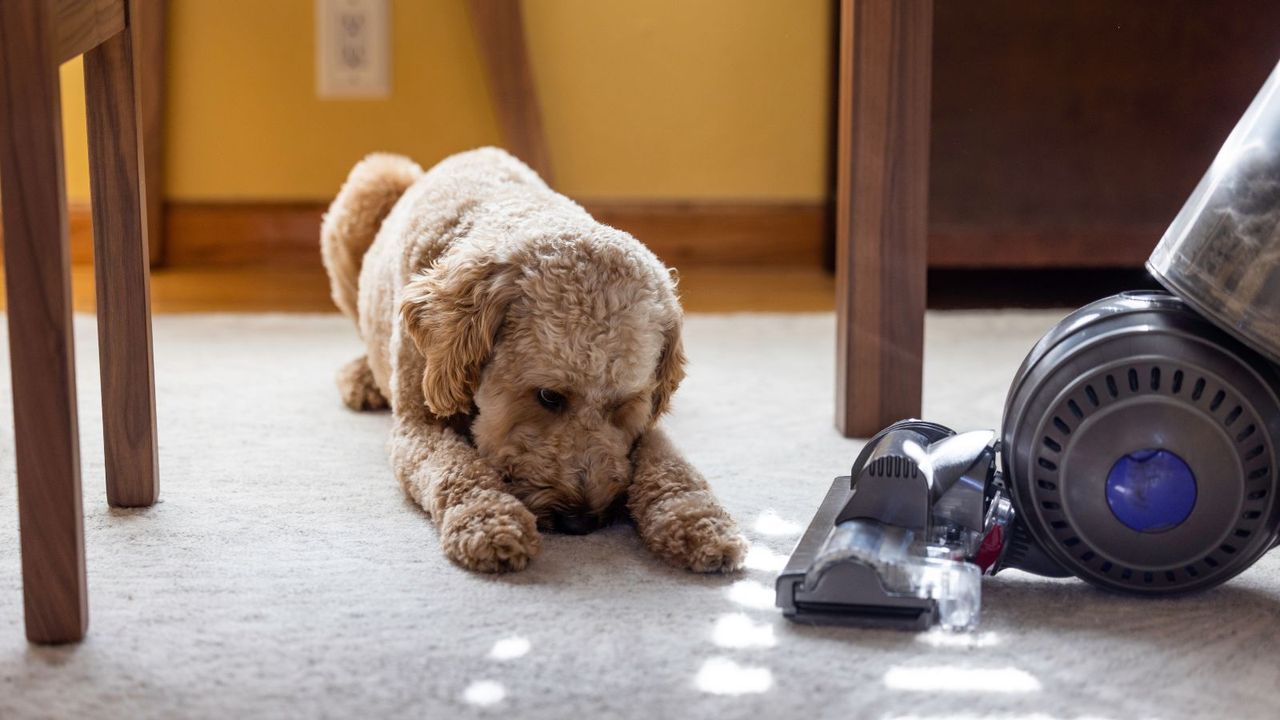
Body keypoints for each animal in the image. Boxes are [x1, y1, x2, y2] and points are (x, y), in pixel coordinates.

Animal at [320, 147, 747, 571]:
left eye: (623, 405)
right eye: (548, 396)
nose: (582, 521)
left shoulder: (644, 429)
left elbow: (670, 464)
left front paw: (698, 520)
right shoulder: (417, 426)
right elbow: (454, 468)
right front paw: (489, 519)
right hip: (371, 187)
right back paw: (363, 378)